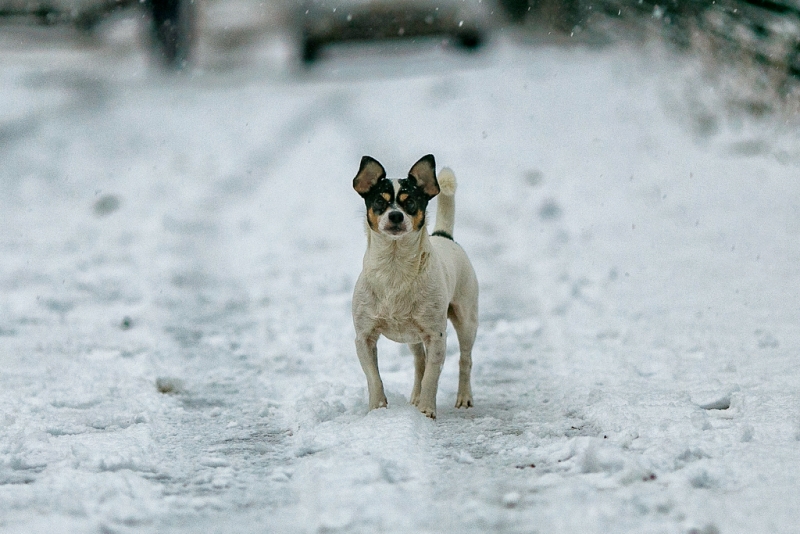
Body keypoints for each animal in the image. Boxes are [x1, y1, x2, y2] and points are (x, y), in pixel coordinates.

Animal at [348, 153, 476, 420]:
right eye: (380, 201)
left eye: (411, 203)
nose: (396, 216)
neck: (395, 267)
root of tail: (444, 235)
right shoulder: (364, 338)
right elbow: (374, 378)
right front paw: (378, 409)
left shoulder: (436, 337)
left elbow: (432, 378)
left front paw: (427, 410)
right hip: (413, 337)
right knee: (420, 362)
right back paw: (415, 397)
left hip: (467, 321)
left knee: (465, 360)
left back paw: (463, 398)